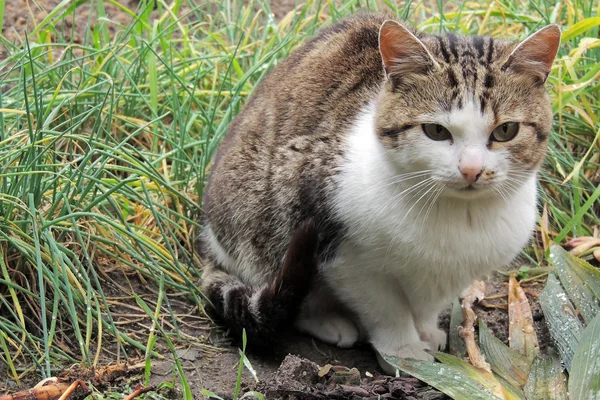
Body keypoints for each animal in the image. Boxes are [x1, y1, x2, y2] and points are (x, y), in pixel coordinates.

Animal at [199, 13, 560, 376]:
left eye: (506, 130)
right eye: (436, 131)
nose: (471, 170)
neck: (459, 216)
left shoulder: (453, 272)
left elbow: (427, 305)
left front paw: (426, 332)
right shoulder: (346, 258)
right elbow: (386, 309)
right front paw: (403, 352)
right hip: (271, 207)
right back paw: (329, 321)